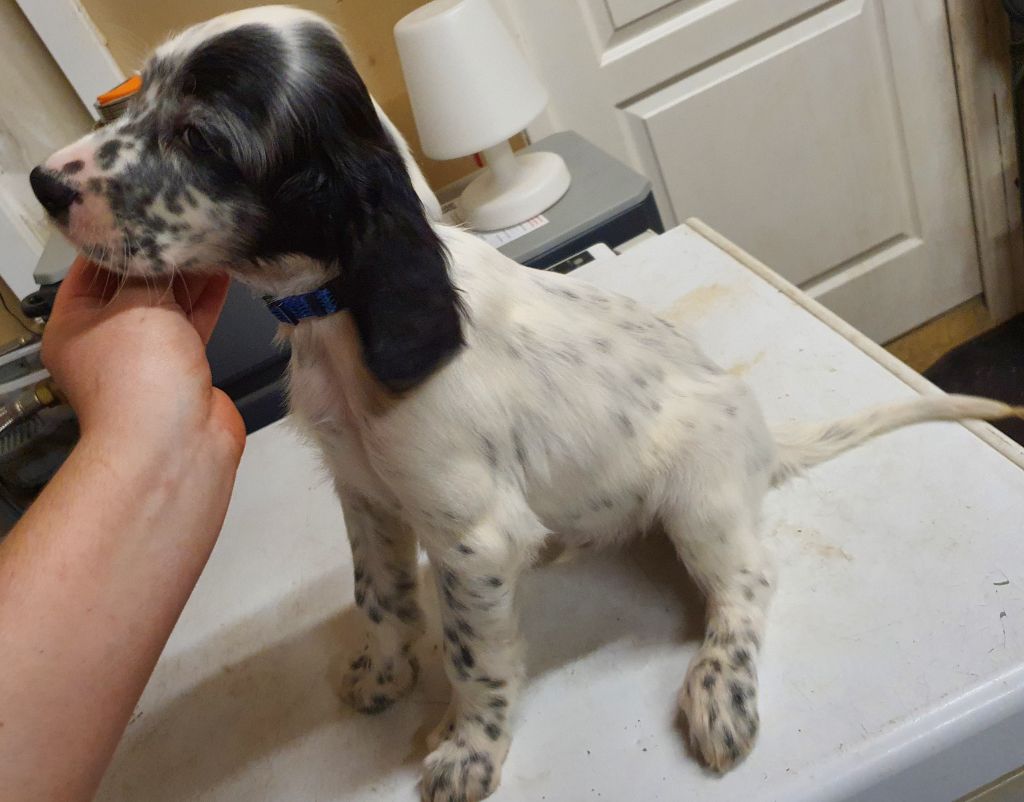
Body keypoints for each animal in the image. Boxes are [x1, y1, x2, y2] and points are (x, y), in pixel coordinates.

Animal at [30, 7, 1023, 800]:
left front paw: (468, 751)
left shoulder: (473, 534)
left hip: (700, 497)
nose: (41, 183)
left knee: (747, 584)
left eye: (201, 138)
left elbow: (476, 659)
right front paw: (384, 672)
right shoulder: (366, 496)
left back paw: (720, 688)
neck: (341, 321)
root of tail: (761, 436)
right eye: (134, 104)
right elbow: (379, 596)